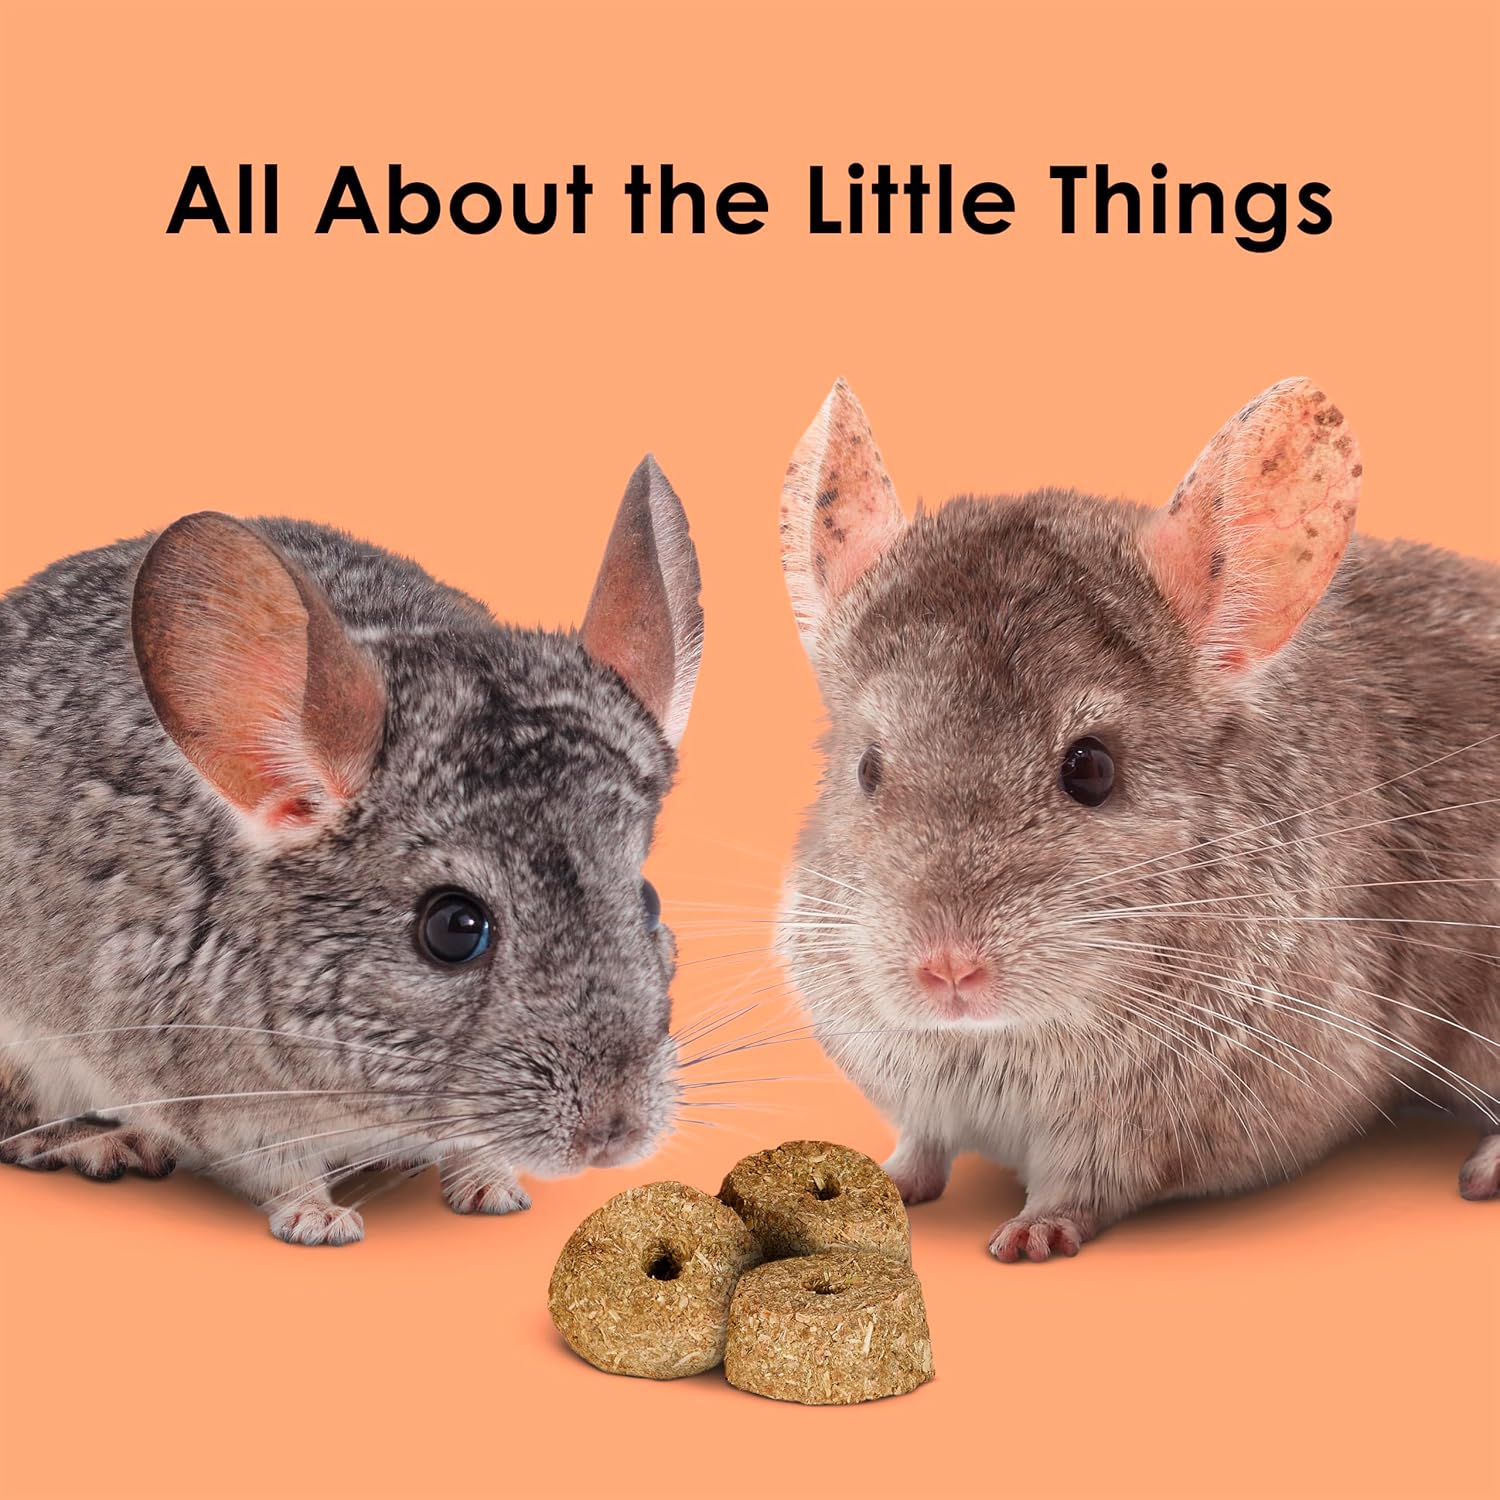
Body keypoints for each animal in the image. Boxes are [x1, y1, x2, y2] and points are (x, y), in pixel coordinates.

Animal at [0, 455, 702, 1245]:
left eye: (647, 899)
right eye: (454, 927)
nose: (615, 1135)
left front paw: (491, 1188)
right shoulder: (226, 1098)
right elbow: (276, 1169)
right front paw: (319, 1221)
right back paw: (102, 1143)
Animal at [776, 378, 1499, 1261]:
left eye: (1091, 769)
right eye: (868, 768)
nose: (947, 970)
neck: (996, 1041)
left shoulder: (1157, 1127)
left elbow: (1085, 1185)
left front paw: (1032, 1235)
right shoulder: (916, 1096)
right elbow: (920, 1143)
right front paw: (889, 1181)